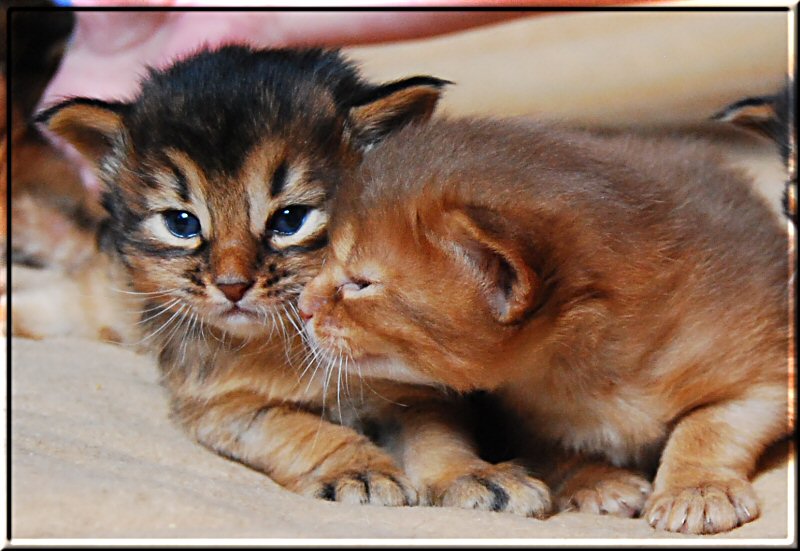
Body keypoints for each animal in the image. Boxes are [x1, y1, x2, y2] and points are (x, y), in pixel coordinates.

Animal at [302, 117, 792, 536]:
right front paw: (597, 481)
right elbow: (556, 449)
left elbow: (708, 424)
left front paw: (698, 488)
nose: (303, 306)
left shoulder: (764, 366)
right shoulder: (515, 416)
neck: (588, 369)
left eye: (361, 283)